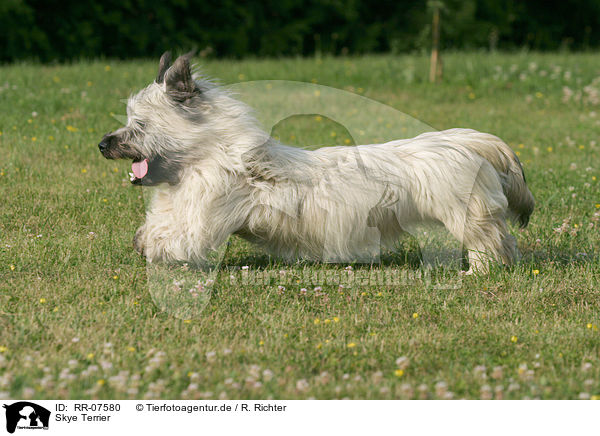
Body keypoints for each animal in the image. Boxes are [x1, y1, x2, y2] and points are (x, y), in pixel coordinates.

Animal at [98, 52, 536, 274]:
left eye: (138, 125)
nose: (102, 144)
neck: (209, 154)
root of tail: (470, 141)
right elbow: (154, 228)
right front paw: (141, 241)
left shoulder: (203, 219)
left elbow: (170, 238)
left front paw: (152, 249)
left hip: (467, 216)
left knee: (489, 243)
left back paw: (478, 273)